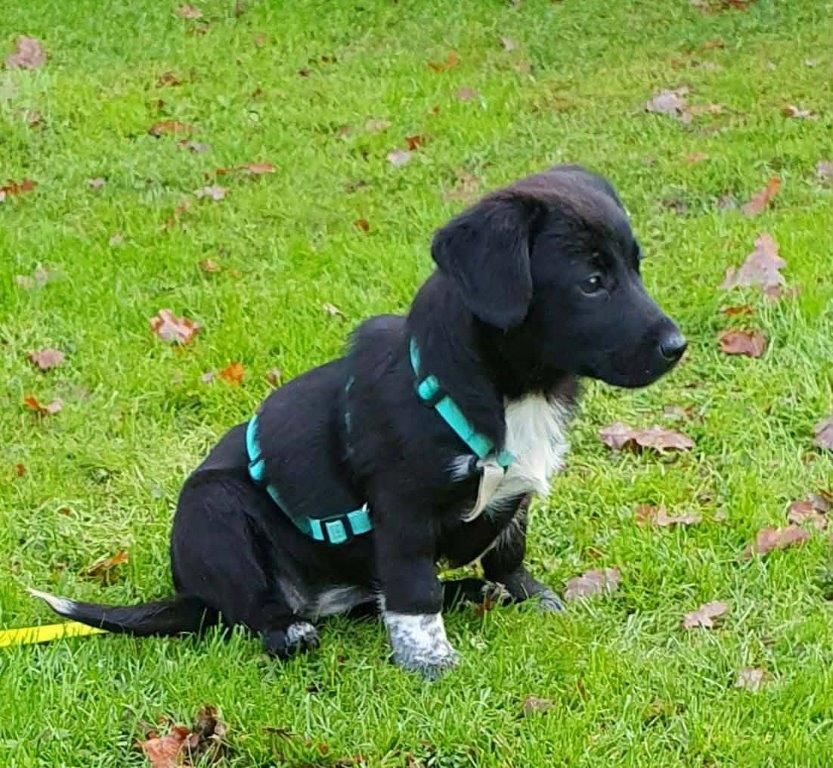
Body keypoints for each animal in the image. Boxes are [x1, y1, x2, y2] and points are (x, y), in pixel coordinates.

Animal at [31, 165, 685, 678]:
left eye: (636, 268)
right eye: (592, 283)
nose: (677, 346)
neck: (514, 391)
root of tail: (188, 594)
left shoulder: (514, 494)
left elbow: (508, 552)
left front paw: (524, 594)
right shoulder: (403, 508)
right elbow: (415, 592)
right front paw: (430, 661)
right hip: (213, 508)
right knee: (257, 610)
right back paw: (290, 630)